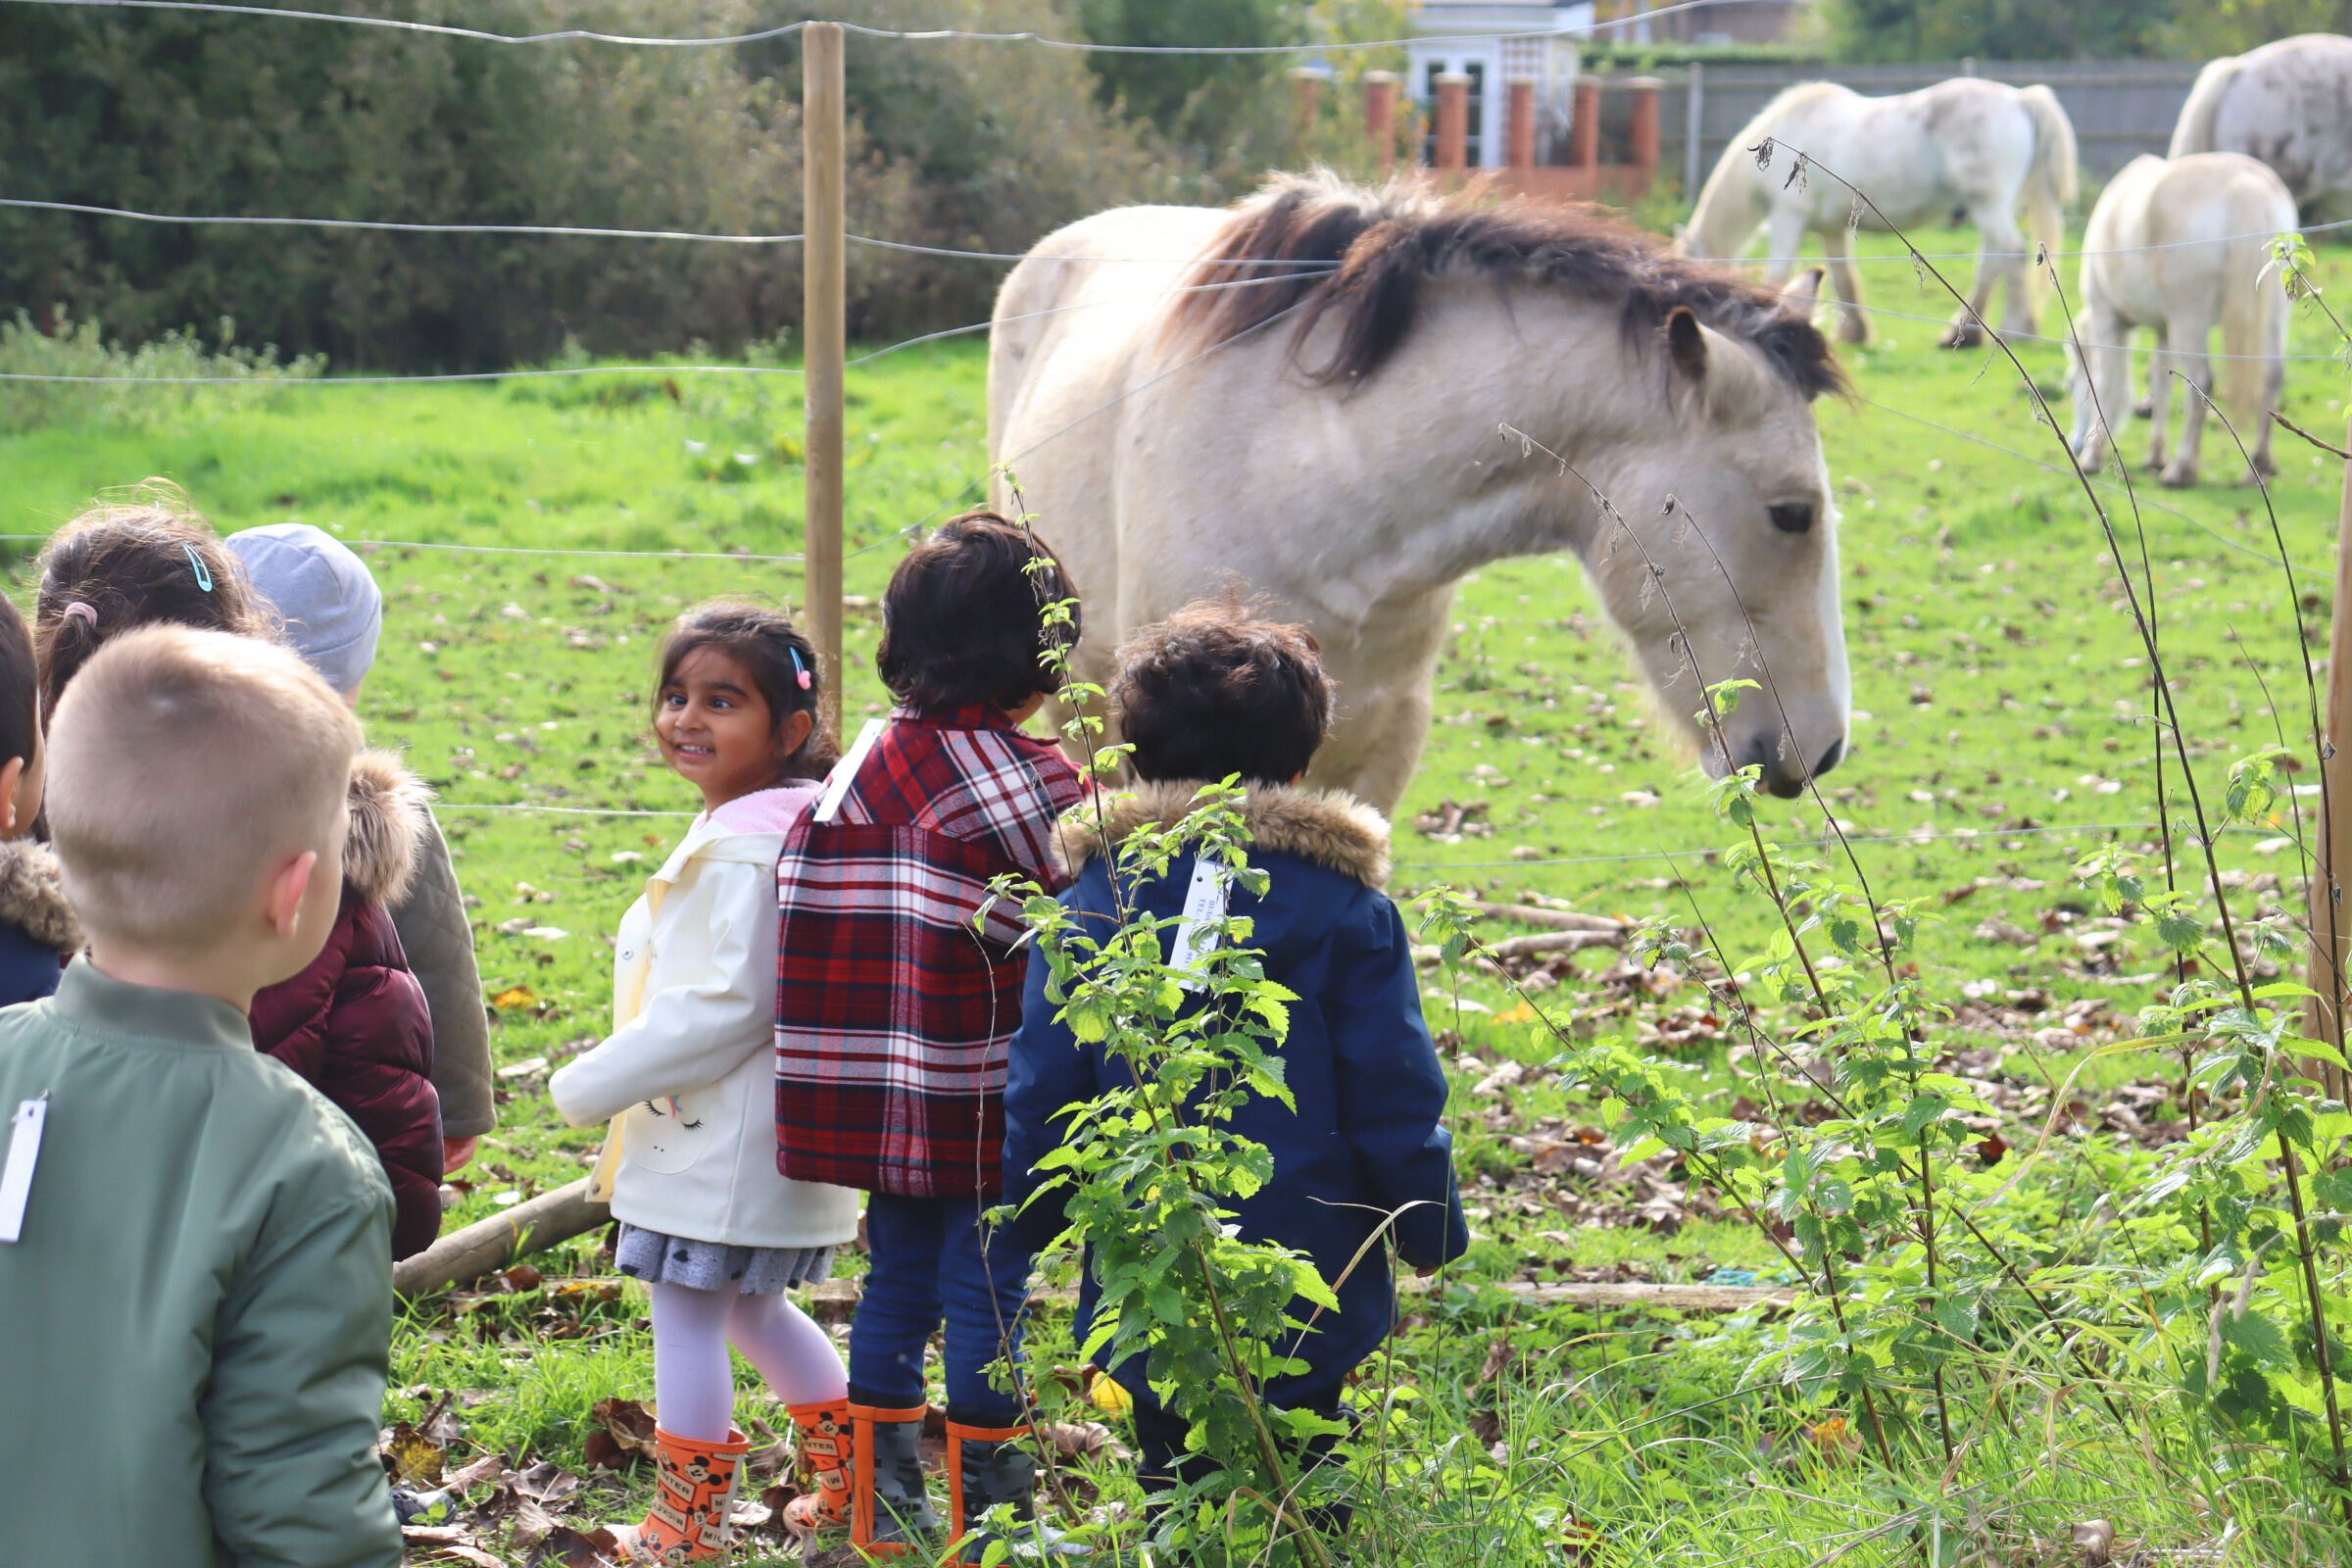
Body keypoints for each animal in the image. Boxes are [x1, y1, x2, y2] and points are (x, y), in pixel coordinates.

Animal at [1693, 80, 2079, 350]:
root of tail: (2020, 99)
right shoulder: (1832, 231)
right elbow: (1843, 278)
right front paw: (1853, 332)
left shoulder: (1788, 218)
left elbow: (1778, 275)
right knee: (1992, 261)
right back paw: (1966, 333)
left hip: (1989, 206)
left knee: (2010, 254)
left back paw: (2014, 330)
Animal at [2070, 154, 2285, 486]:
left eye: (2072, 383)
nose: (2077, 442)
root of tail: (2244, 183)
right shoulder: (2164, 331)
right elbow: (2161, 385)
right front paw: (2156, 455)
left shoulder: (2106, 319)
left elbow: (2107, 385)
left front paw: (2093, 456)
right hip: (2273, 318)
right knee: (2272, 375)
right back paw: (2260, 464)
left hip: (2190, 323)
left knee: (2202, 382)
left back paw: (2182, 469)